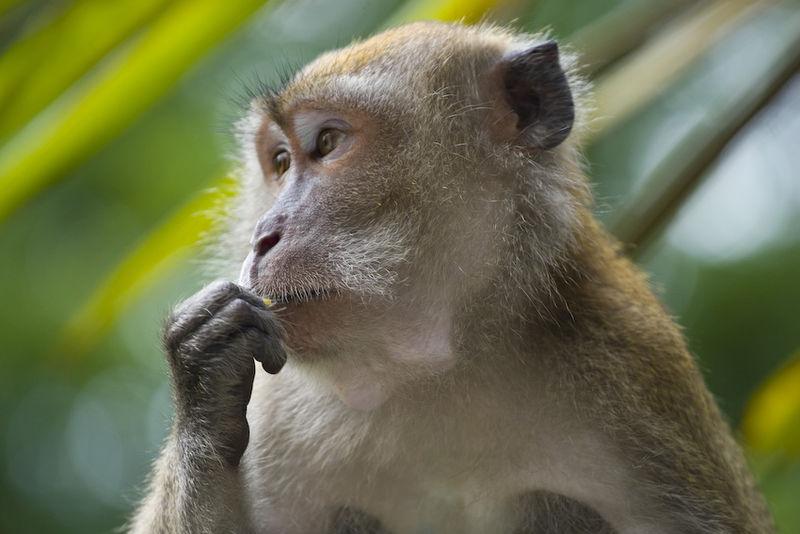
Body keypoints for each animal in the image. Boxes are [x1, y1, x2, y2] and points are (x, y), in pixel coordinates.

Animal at [128, 22, 772, 534]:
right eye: (281, 162)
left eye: (328, 143)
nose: (263, 235)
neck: (435, 369)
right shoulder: (280, 414)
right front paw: (204, 379)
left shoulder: (635, 370)